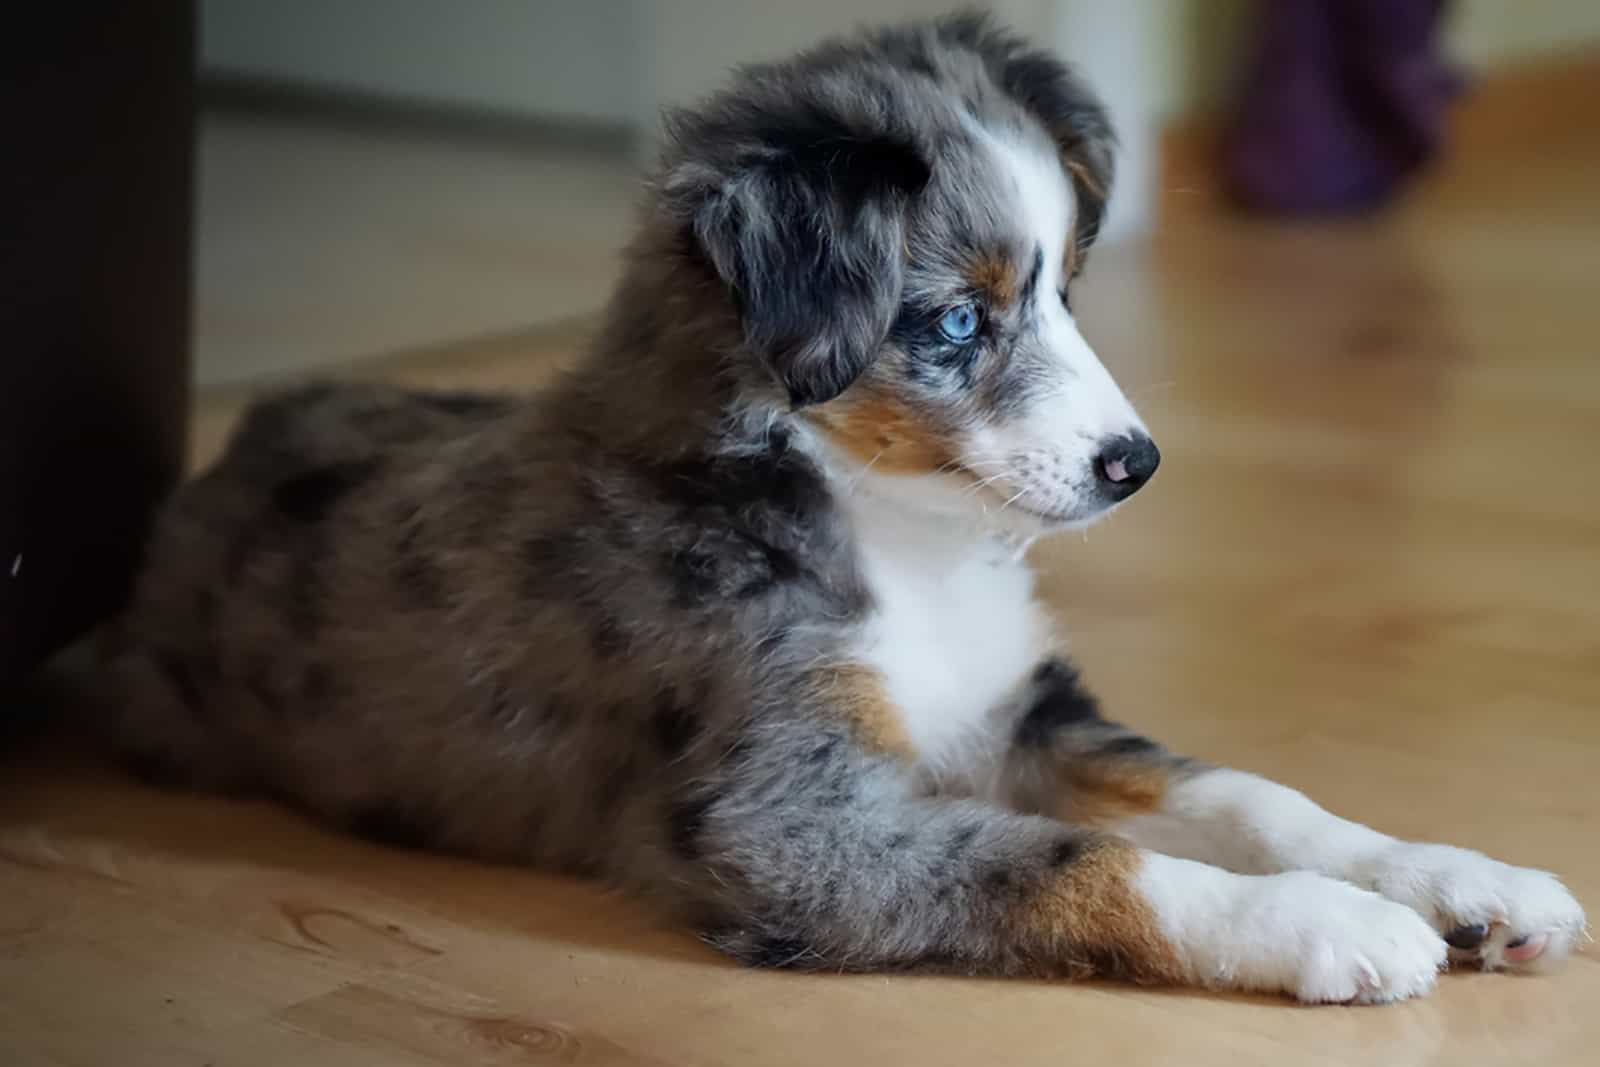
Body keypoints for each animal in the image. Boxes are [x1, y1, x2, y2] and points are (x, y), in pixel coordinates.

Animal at [103, 14, 1587, 1004]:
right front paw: (1332, 926)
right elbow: (1091, 860)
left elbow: (1241, 788)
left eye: (1066, 289)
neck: (897, 535)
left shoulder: (1018, 712)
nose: (1137, 462)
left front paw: (1459, 876)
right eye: (954, 322)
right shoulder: (785, 817)